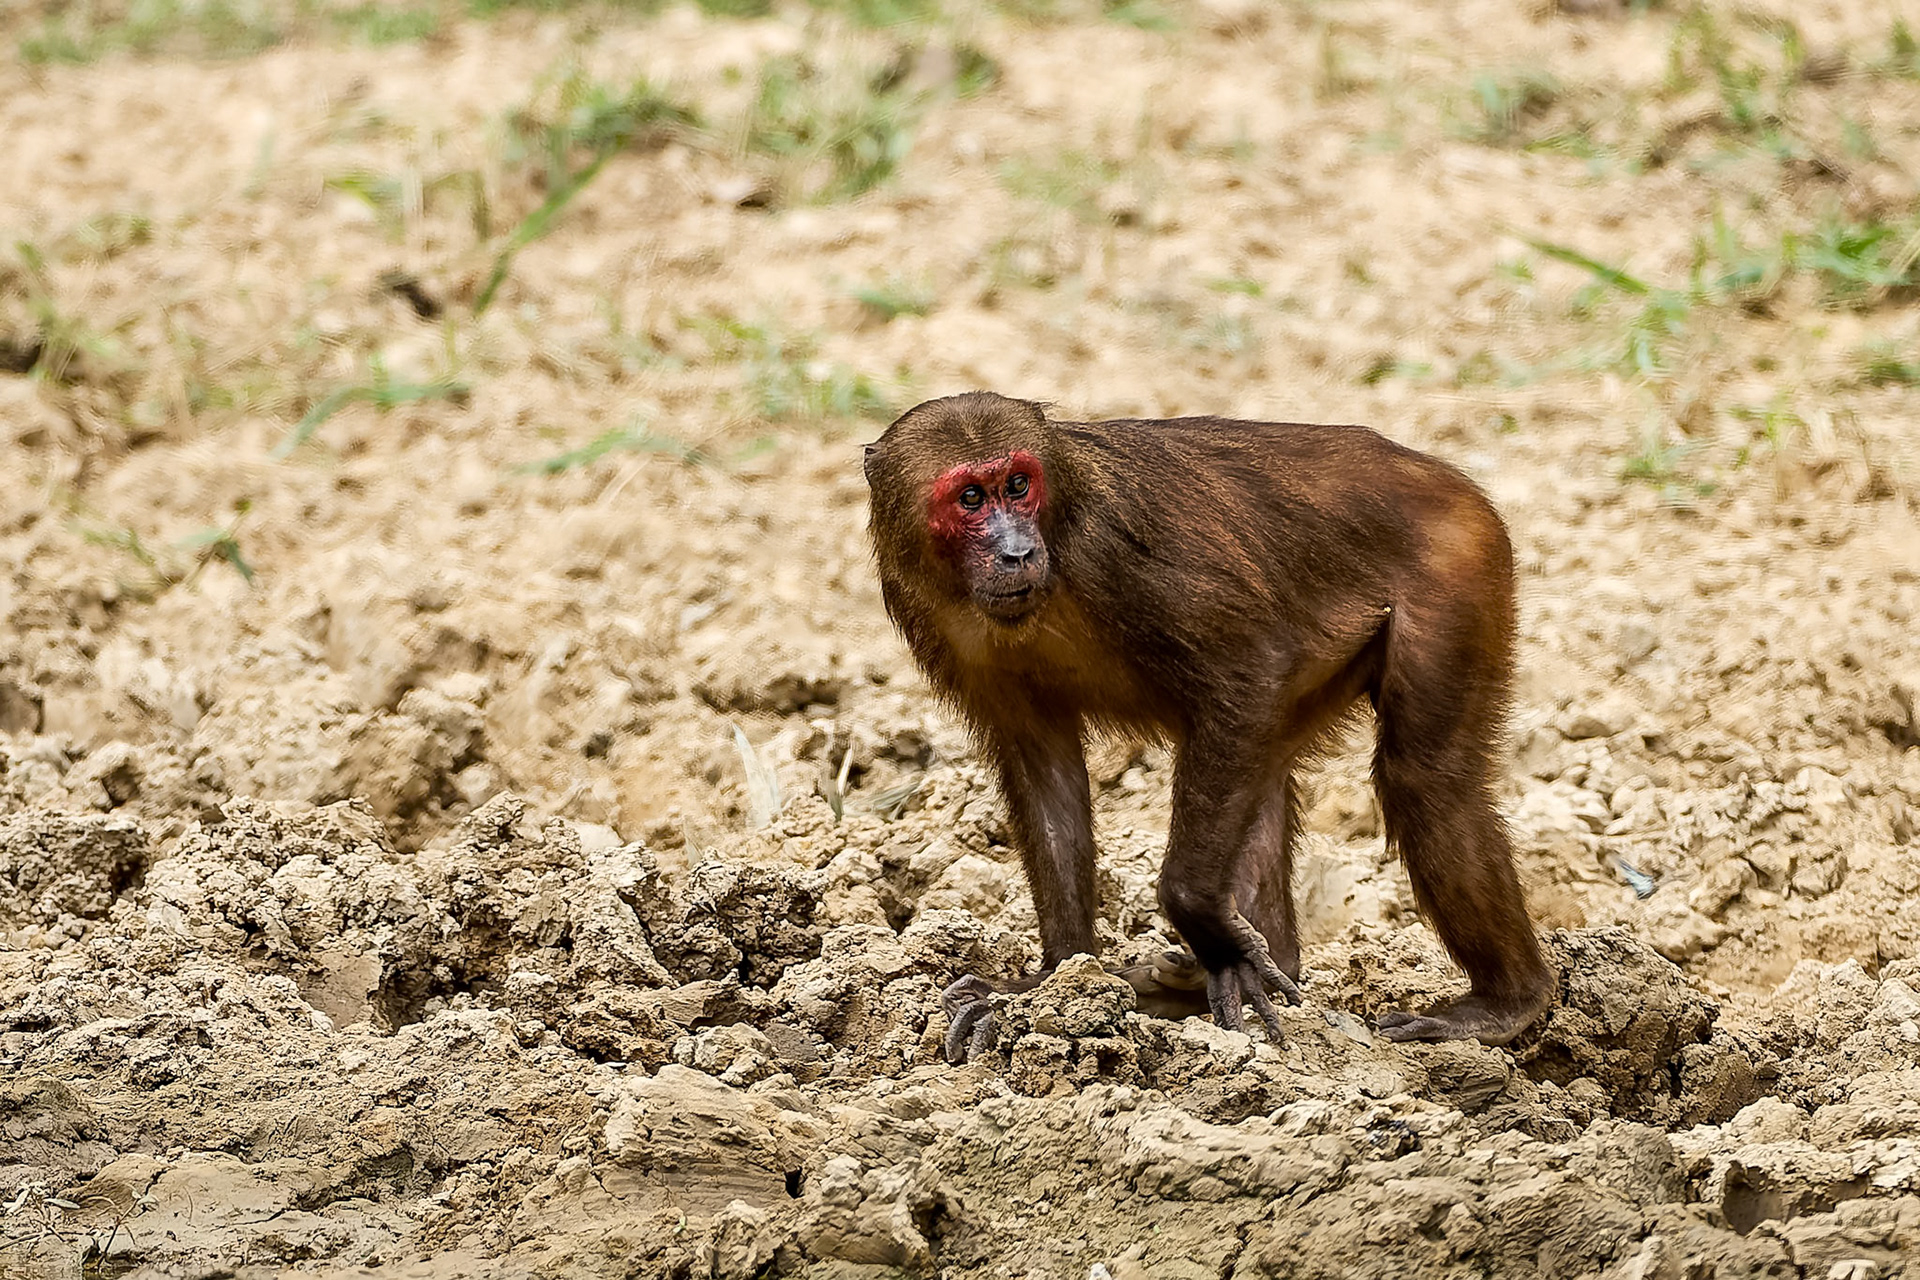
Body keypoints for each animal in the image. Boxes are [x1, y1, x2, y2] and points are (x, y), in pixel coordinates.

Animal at [862, 391, 1554, 1064]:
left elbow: (1247, 673)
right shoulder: (936, 618)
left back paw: (1505, 1003)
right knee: (1271, 776)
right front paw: (1055, 980)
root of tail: (1434, 471)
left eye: (1017, 485)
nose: (1017, 551)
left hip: (1461, 562)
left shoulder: (1115, 549)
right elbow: (1044, 769)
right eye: (970, 498)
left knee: (1423, 778)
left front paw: (1198, 918)